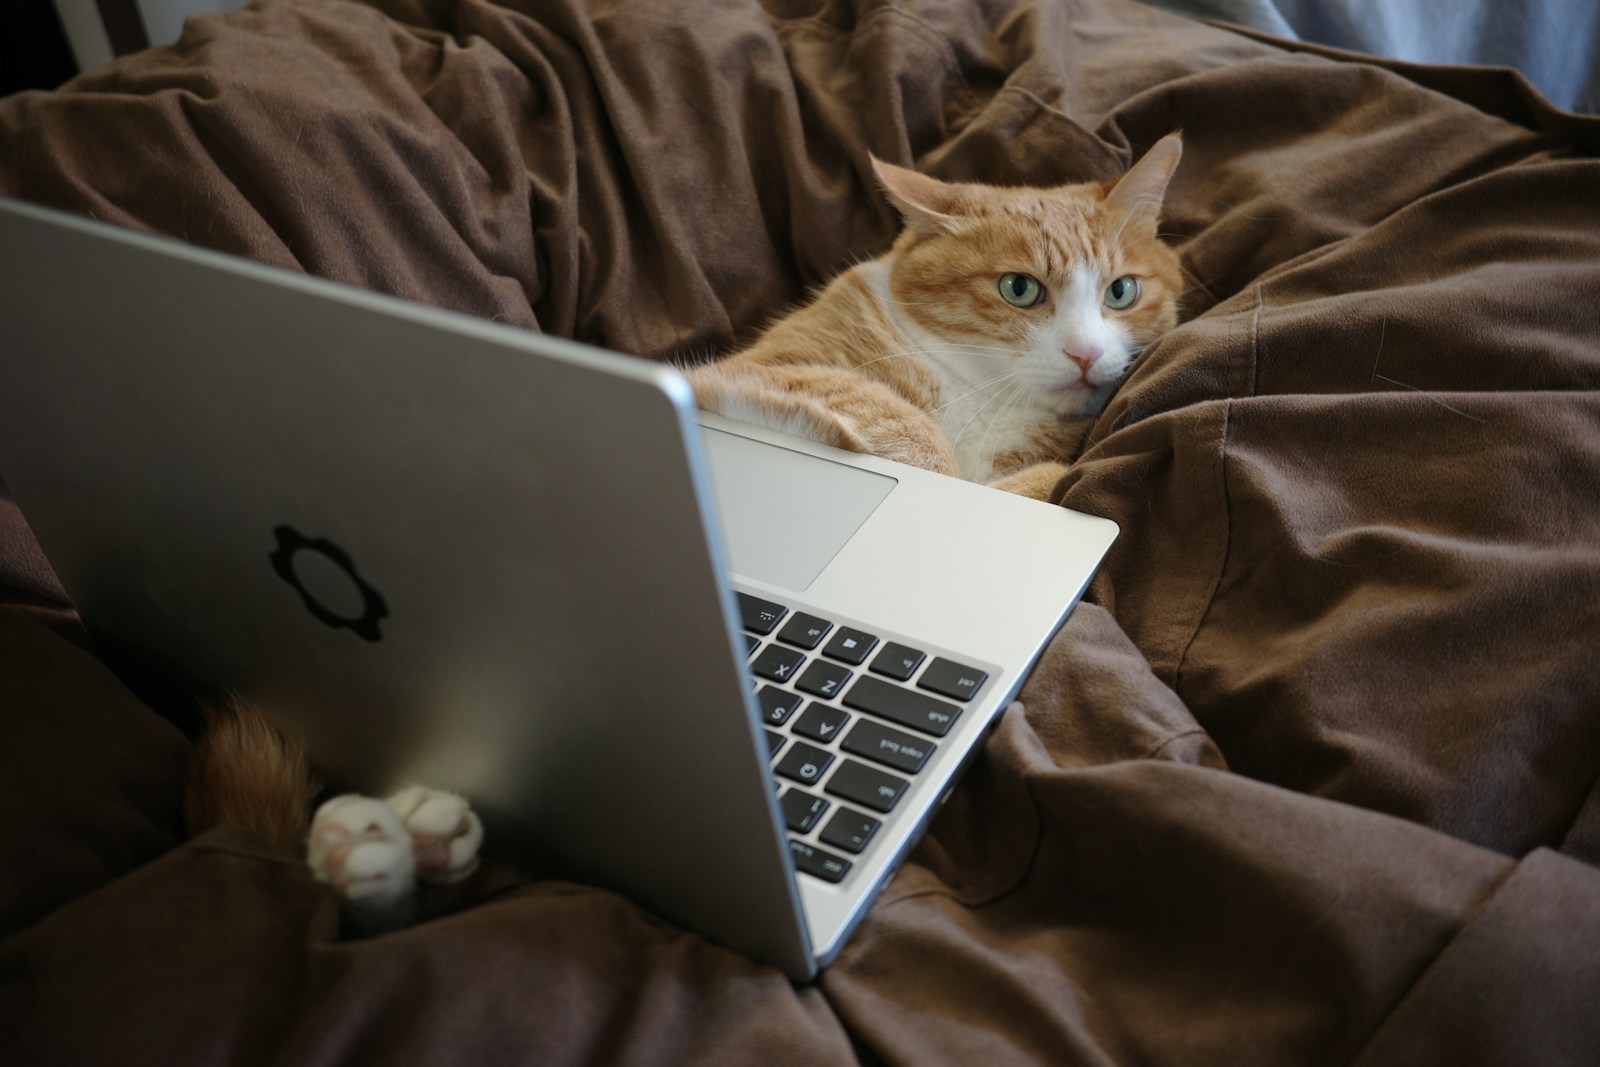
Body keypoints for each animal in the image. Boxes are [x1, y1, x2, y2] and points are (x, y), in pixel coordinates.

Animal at [694, 133, 1184, 502]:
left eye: (1121, 291)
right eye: (1019, 288)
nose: (1086, 354)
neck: (982, 396)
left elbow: (1049, 480)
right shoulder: (764, 366)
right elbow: (899, 420)